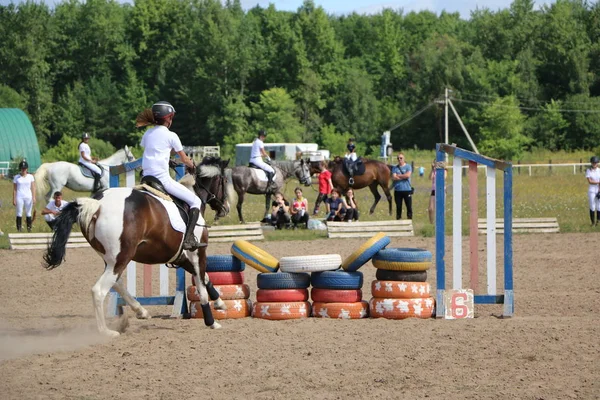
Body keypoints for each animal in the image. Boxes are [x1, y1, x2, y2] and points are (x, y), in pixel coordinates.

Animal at [42, 157, 233, 338]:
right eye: (224, 180)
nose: (226, 208)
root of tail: (97, 205)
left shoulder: (181, 257)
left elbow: (206, 278)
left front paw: (220, 302)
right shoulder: (197, 253)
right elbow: (201, 284)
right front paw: (211, 321)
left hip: (112, 259)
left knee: (116, 282)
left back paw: (140, 310)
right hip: (122, 257)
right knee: (99, 290)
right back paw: (106, 332)